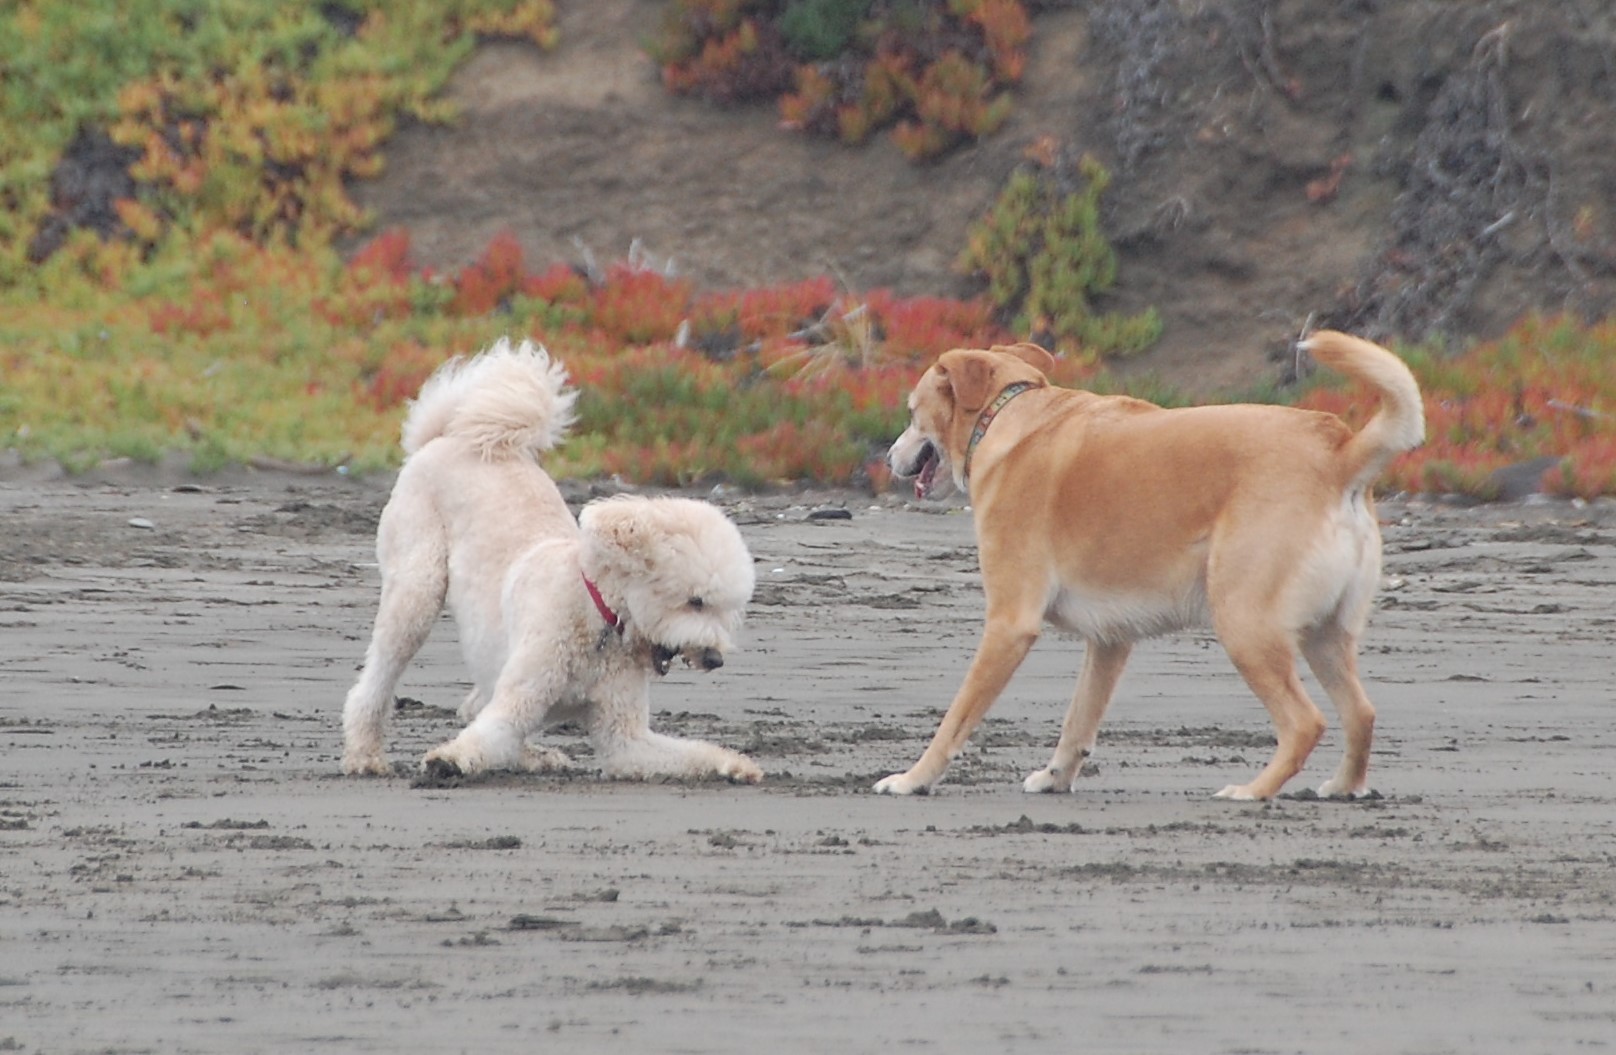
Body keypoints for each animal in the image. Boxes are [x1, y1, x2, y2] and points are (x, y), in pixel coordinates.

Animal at [341, 338, 762, 784]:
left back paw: (532, 756)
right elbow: (493, 731)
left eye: (727, 611)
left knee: (475, 708)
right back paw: (365, 754)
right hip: (417, 589)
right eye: (695, 601)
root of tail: (444, 437)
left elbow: (684, 753)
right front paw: (448, 760)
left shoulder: (624, 738)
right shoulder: (522, 696)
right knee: (377, 680)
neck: (597, 614)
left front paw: (734, 764)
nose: (715, 659)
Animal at [875, 330, 1424, 800]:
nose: (886, 458)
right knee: (1361, 714)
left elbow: (955, 719)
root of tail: (1340, 453)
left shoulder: (1010, 625)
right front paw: (1056, 777)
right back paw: (1344, 787)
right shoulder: (1109, 642)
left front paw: (913, 778)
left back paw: (1253, 791)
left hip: (1245, 626)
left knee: (1305, 722)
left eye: (911, 412)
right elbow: (1078, 720)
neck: (1006, 414)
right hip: (1325, 635)